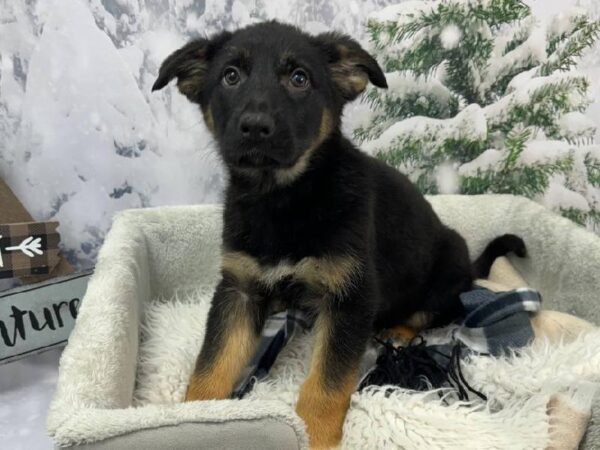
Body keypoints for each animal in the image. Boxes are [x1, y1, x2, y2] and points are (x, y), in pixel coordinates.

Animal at [154, 22, 524, 450]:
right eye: (230, 76)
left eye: (300, 79)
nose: (255, 127)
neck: (284, 198)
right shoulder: (239, 290)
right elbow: (212, 363)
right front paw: (193, 417)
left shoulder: (350, 296)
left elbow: (326, 383)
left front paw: (314, 435)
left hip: (444, 272)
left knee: (424, 314)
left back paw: (398, 331)